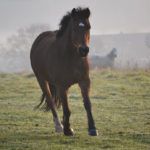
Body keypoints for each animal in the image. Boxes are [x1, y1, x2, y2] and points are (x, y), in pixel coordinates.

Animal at [30, 6, 98, 136]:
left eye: (88, 27)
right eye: (74, 28)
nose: (84, 50)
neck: (71, 57)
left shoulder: (84, 82)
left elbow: (87, 104)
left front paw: (92, 129)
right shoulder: (61, 85)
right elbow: (66, 108)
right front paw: (67, 130)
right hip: (42, 80)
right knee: (51, 101)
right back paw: (59, 126)